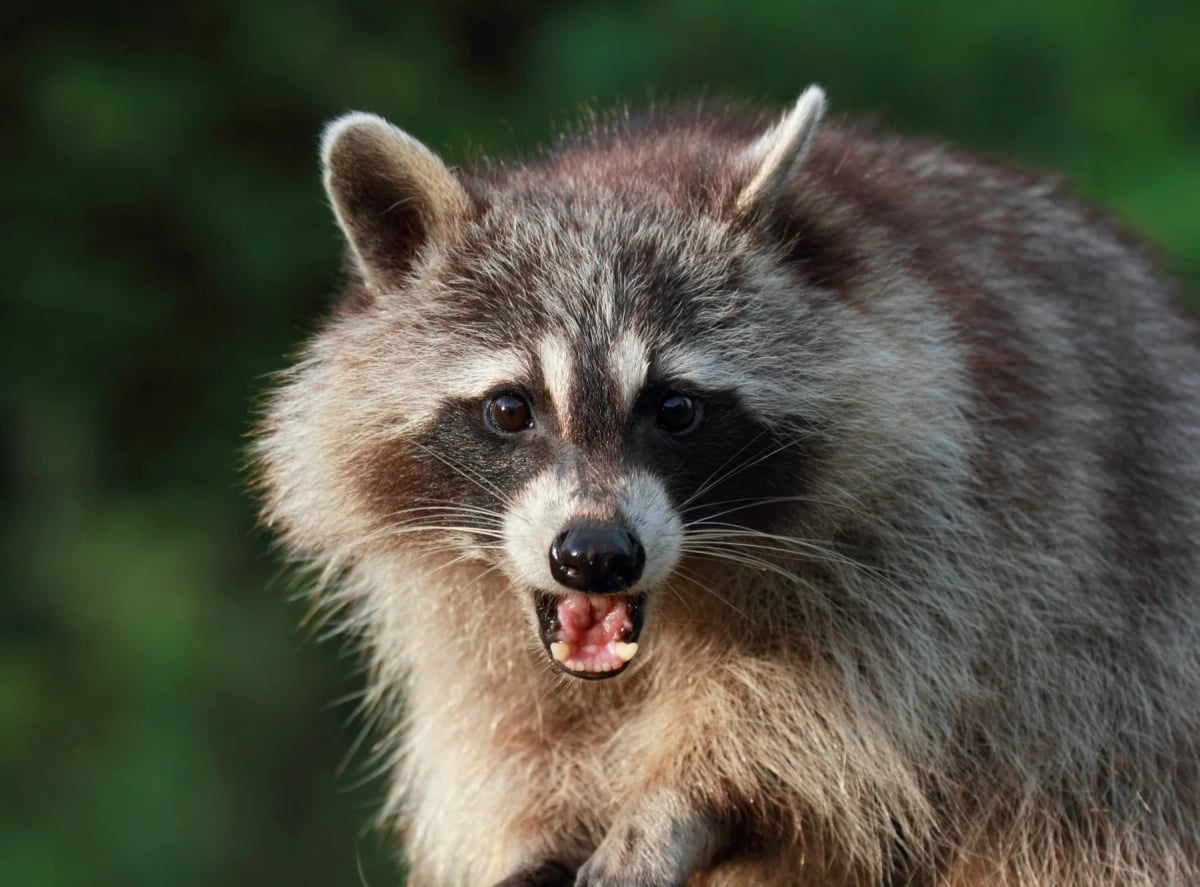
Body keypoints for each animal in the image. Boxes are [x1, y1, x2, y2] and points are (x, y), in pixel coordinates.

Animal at [254, 86, 1200, 885]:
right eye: (510, 409)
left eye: (676, 407)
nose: (594, 555)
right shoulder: (460, 621)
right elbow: (508, 730)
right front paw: (539, 832)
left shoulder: (949, 524)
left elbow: (819, 721)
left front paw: (683, 800)